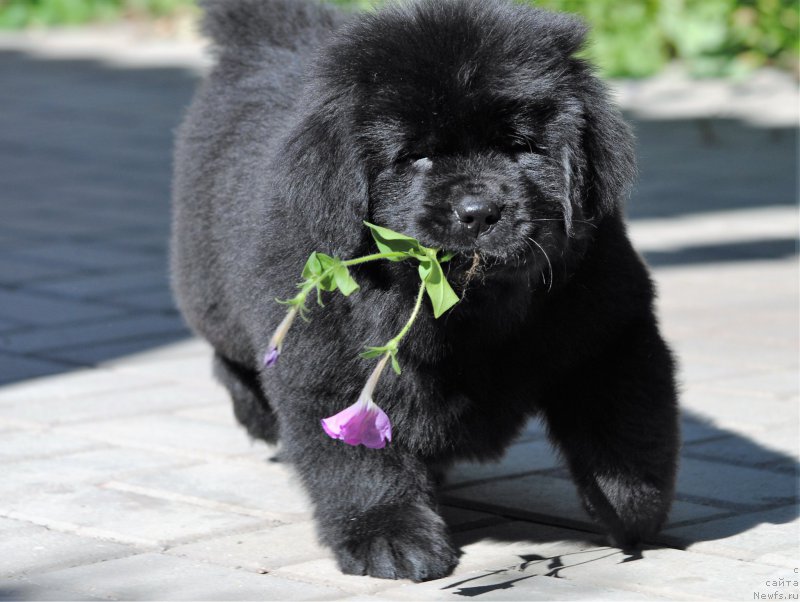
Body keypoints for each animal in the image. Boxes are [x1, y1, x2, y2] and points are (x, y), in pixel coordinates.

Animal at [172, 0, 680, 580]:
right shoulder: (328, 357)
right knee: (231, 357)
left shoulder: (609, 319)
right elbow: (356, 459)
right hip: (211, 293)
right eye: (416, 156)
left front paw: (632, 505)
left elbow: (628, 419)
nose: (478, 211)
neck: (472, 309)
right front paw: (389, 537)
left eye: (518, 147)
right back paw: (256, 415)